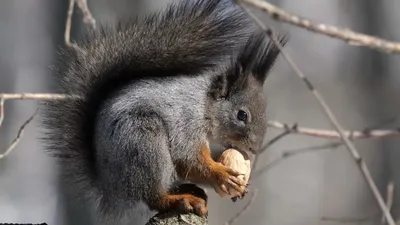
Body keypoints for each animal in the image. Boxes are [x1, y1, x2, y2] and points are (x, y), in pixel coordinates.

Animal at [39, 0, 284, 222]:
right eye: (242, 115)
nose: (254, 148)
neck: (206, 105)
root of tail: (110, 186)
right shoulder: (186, 121)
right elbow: (189, 159)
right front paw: (222, 176)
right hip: (143, 143)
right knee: (153, 197)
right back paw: (181, 200)